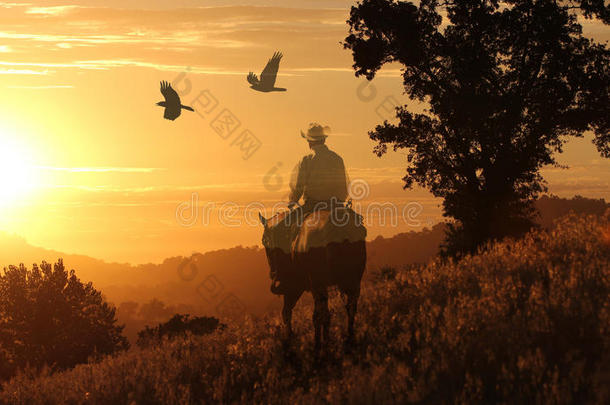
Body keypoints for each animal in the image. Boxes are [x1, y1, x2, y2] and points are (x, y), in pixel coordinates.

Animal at [258, 205, 364, 350]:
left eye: (264, 240)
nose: (273, 274)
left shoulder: (294, 287)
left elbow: (288, 312)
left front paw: (291, 339)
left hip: (318, 284)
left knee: (321, 314)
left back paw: (320, 345)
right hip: (353, 281)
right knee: (350, 308)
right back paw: (348, 339)